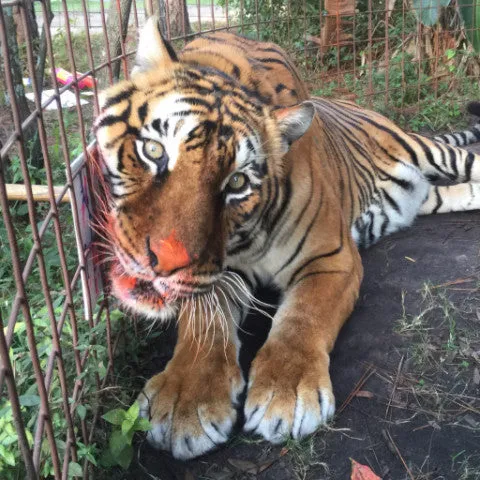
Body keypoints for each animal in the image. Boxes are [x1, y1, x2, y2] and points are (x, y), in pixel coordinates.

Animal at [93, 16, 480, 460]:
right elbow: (203, 325)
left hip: (428, 150)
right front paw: (184, 403)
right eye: (154, 151)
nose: (163, 262)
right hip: (435, 196)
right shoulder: (218, 273)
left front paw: (286, 394)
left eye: (237, 182)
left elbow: (302, 318)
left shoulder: (331, 256)